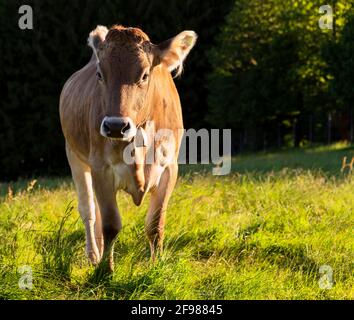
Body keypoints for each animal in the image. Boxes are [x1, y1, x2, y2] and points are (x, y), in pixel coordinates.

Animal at [58, 25, 196, 272]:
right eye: (100, 74)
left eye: (144, 75)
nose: (115, 126)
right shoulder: (101, 168)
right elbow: (111, 224)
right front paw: (105, 270)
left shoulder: (169, 169)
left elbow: (155, 225)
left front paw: (155, 266)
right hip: (74, 156)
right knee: (89, 210)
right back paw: (94, 255)